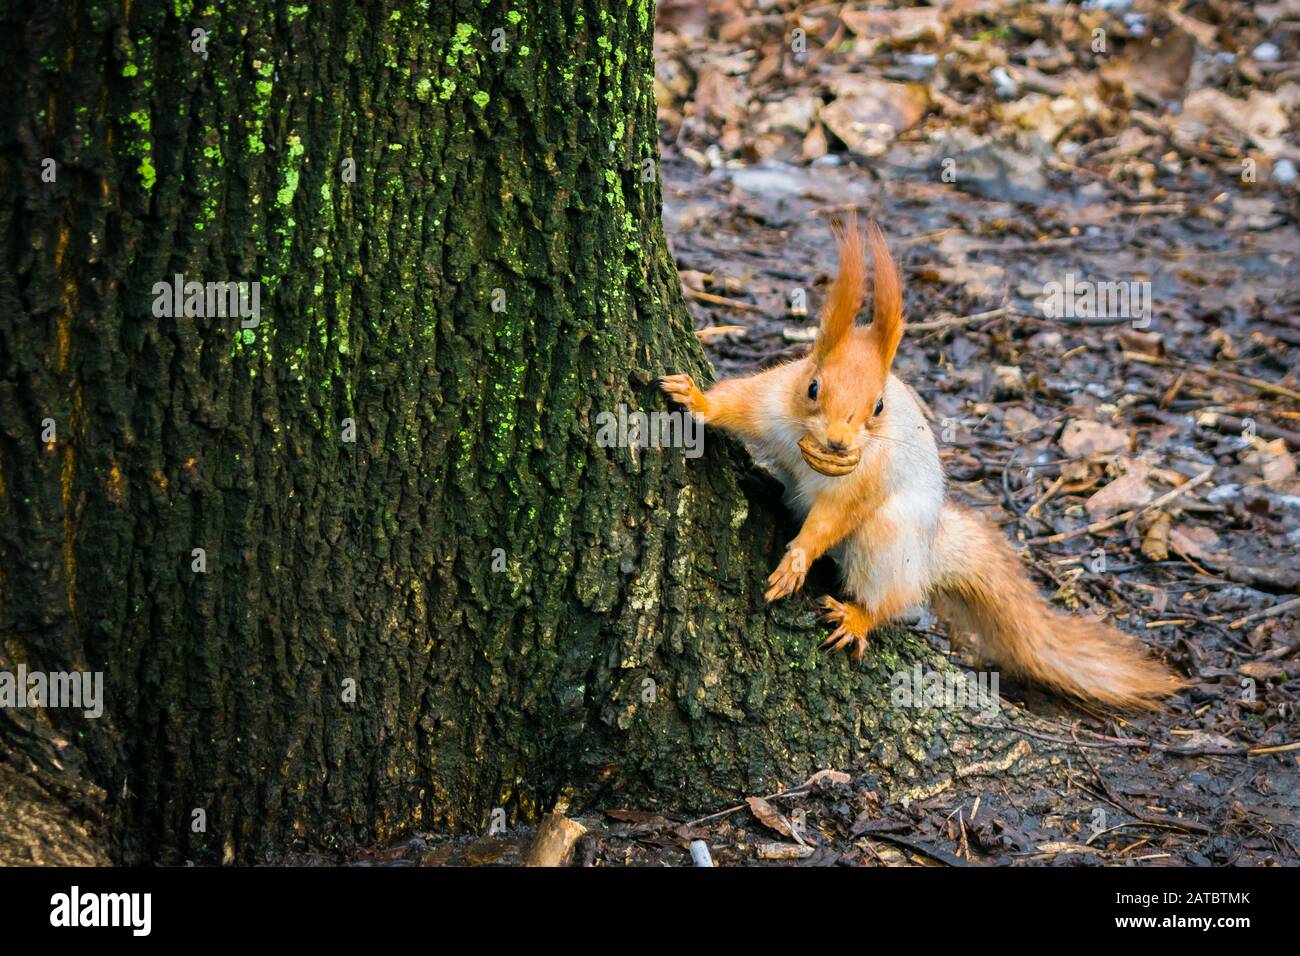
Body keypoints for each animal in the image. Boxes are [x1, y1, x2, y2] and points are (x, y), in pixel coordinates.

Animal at [665, 217, 1185, 712]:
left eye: (878, 406)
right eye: (812, 387)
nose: (838, 442)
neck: (807, 443)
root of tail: (930, 551)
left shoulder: (869, 476)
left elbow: (837, 515)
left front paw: (797, 560)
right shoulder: (770, 399)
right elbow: (733, 405)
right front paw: (692, 398)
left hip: (889, 537)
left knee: (893, 597)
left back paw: (858, 617)